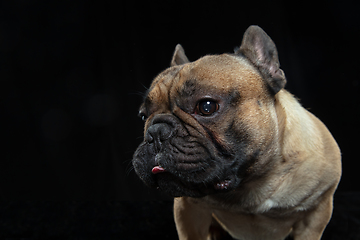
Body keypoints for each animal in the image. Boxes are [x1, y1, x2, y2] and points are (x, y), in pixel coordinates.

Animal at [132, 25, 340, 239]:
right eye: (143, 116)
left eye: (207, 107)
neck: (252, 185)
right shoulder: (189, 211)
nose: (155, 132)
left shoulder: (315, 214)